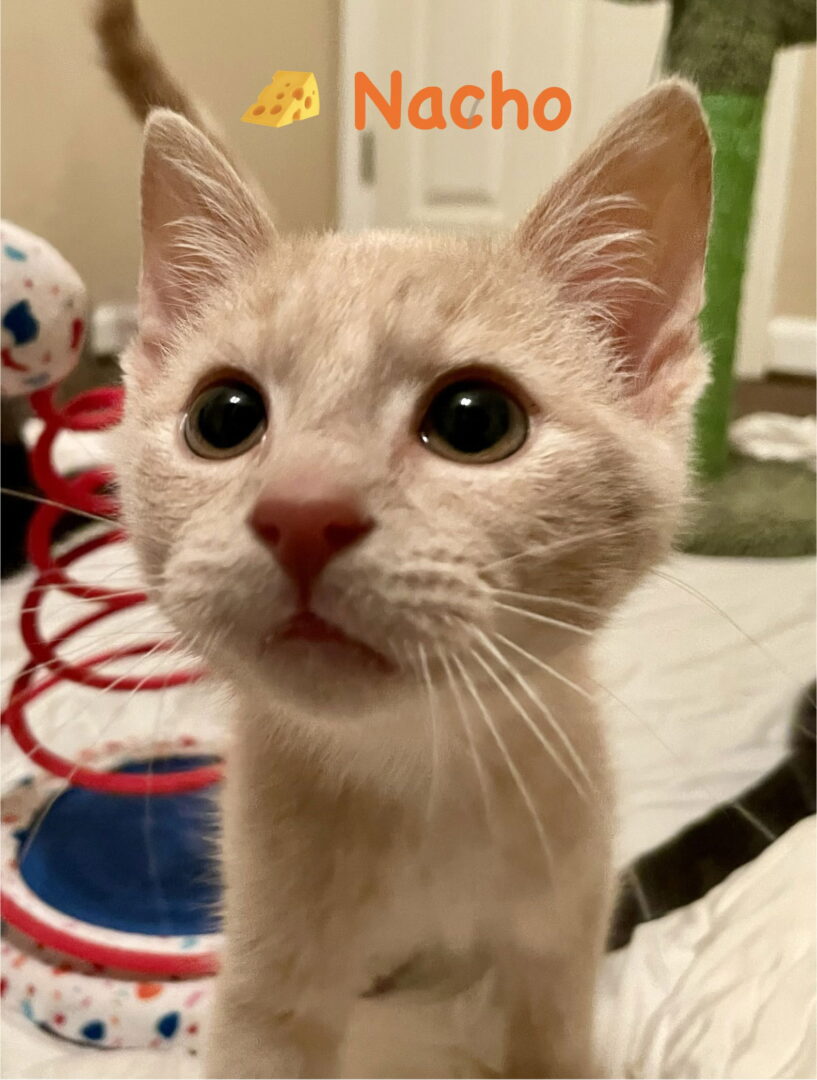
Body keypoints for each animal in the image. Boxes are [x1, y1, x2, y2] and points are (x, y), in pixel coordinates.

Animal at [95, 2, 712, 1075]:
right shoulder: (262, 984)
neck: (418, 776)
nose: (302, 510)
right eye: (223, 417)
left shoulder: (559, 952)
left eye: (474, 421)